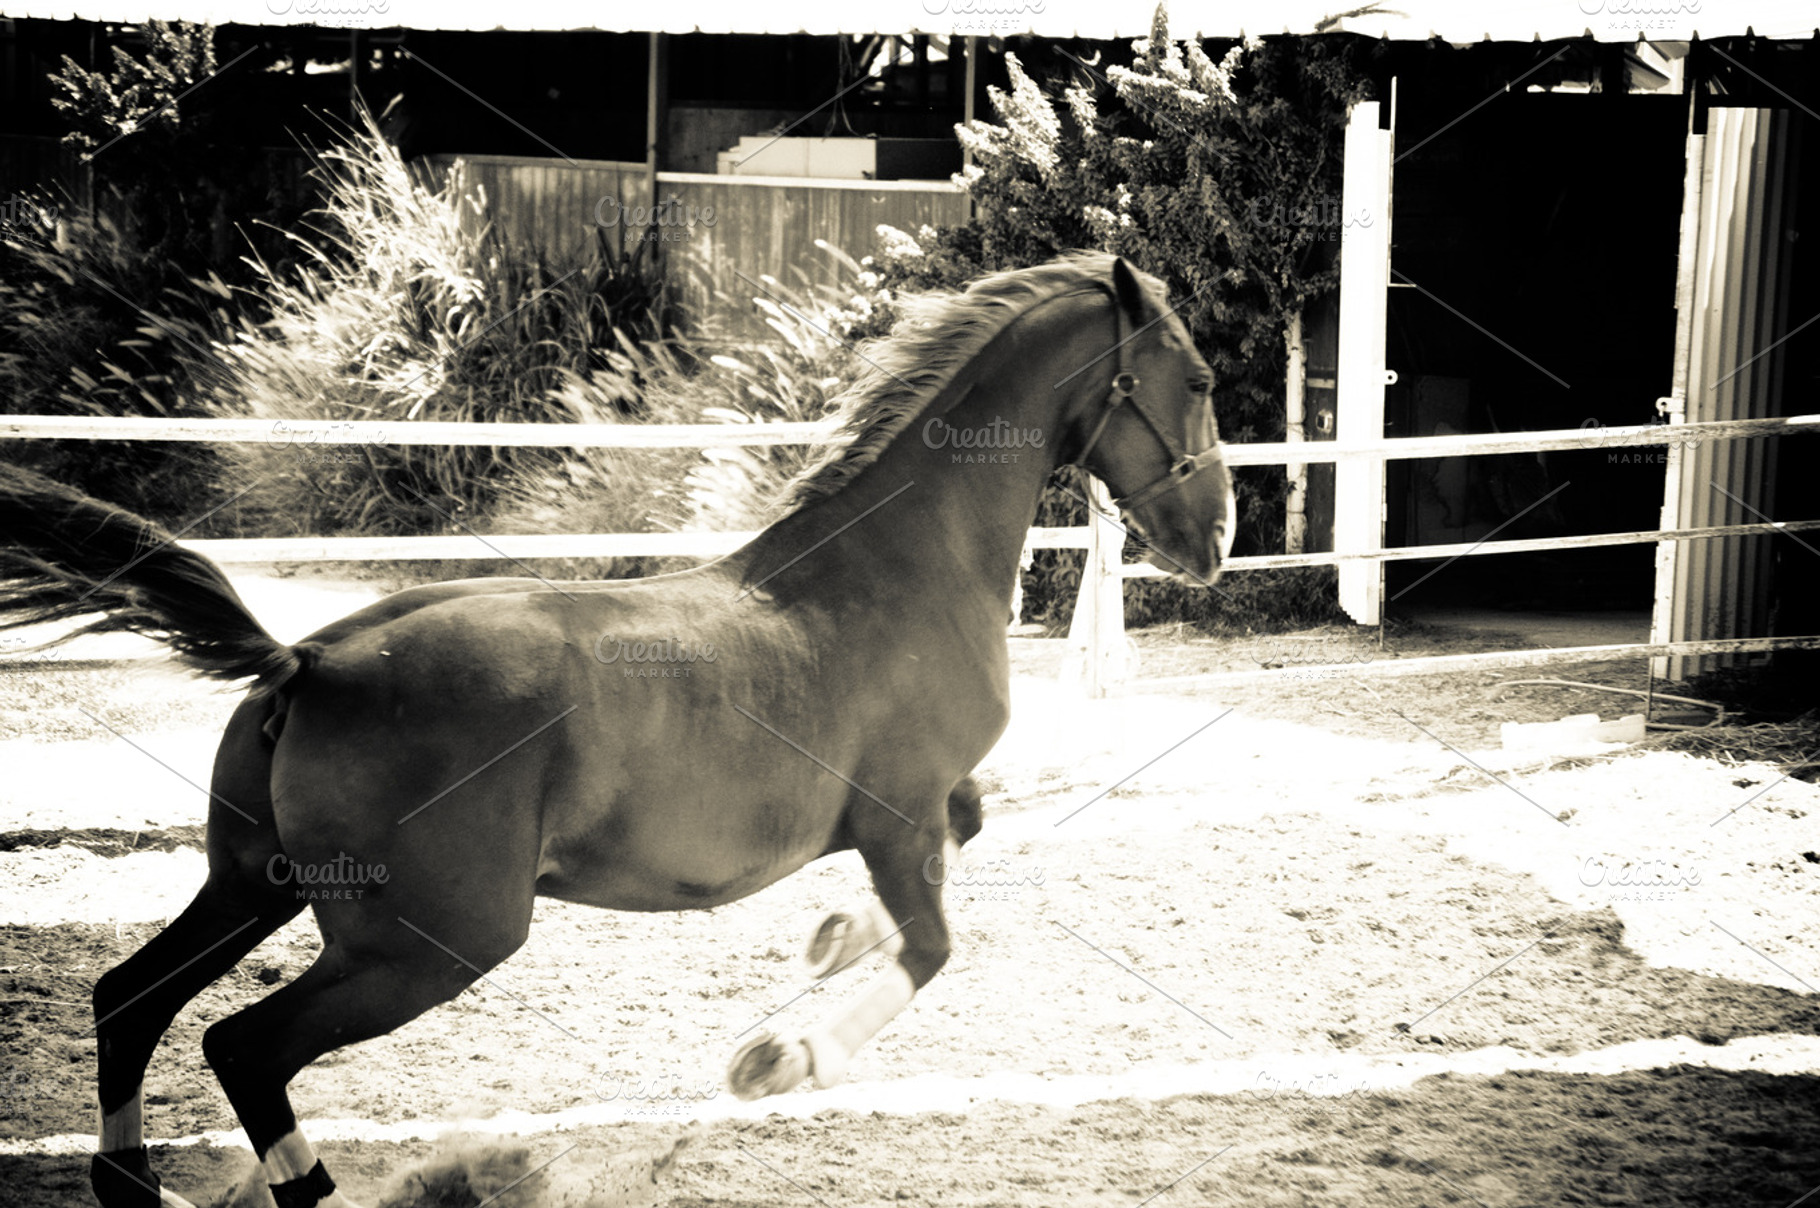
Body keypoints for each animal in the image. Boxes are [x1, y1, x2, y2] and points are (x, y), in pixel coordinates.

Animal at [0, 252, 1234, 1208]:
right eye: (1202, 377)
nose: (1216, 538)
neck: (894, 568)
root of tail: (307, 662)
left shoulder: (926, 806)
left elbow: (958, 848)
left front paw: (831, 939)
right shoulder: (897, 815)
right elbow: (931, 945)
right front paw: (782, 1057)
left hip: (254, 887)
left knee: (129, 998)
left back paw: (134, 1178)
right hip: (425, 947)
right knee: (240, 1046)